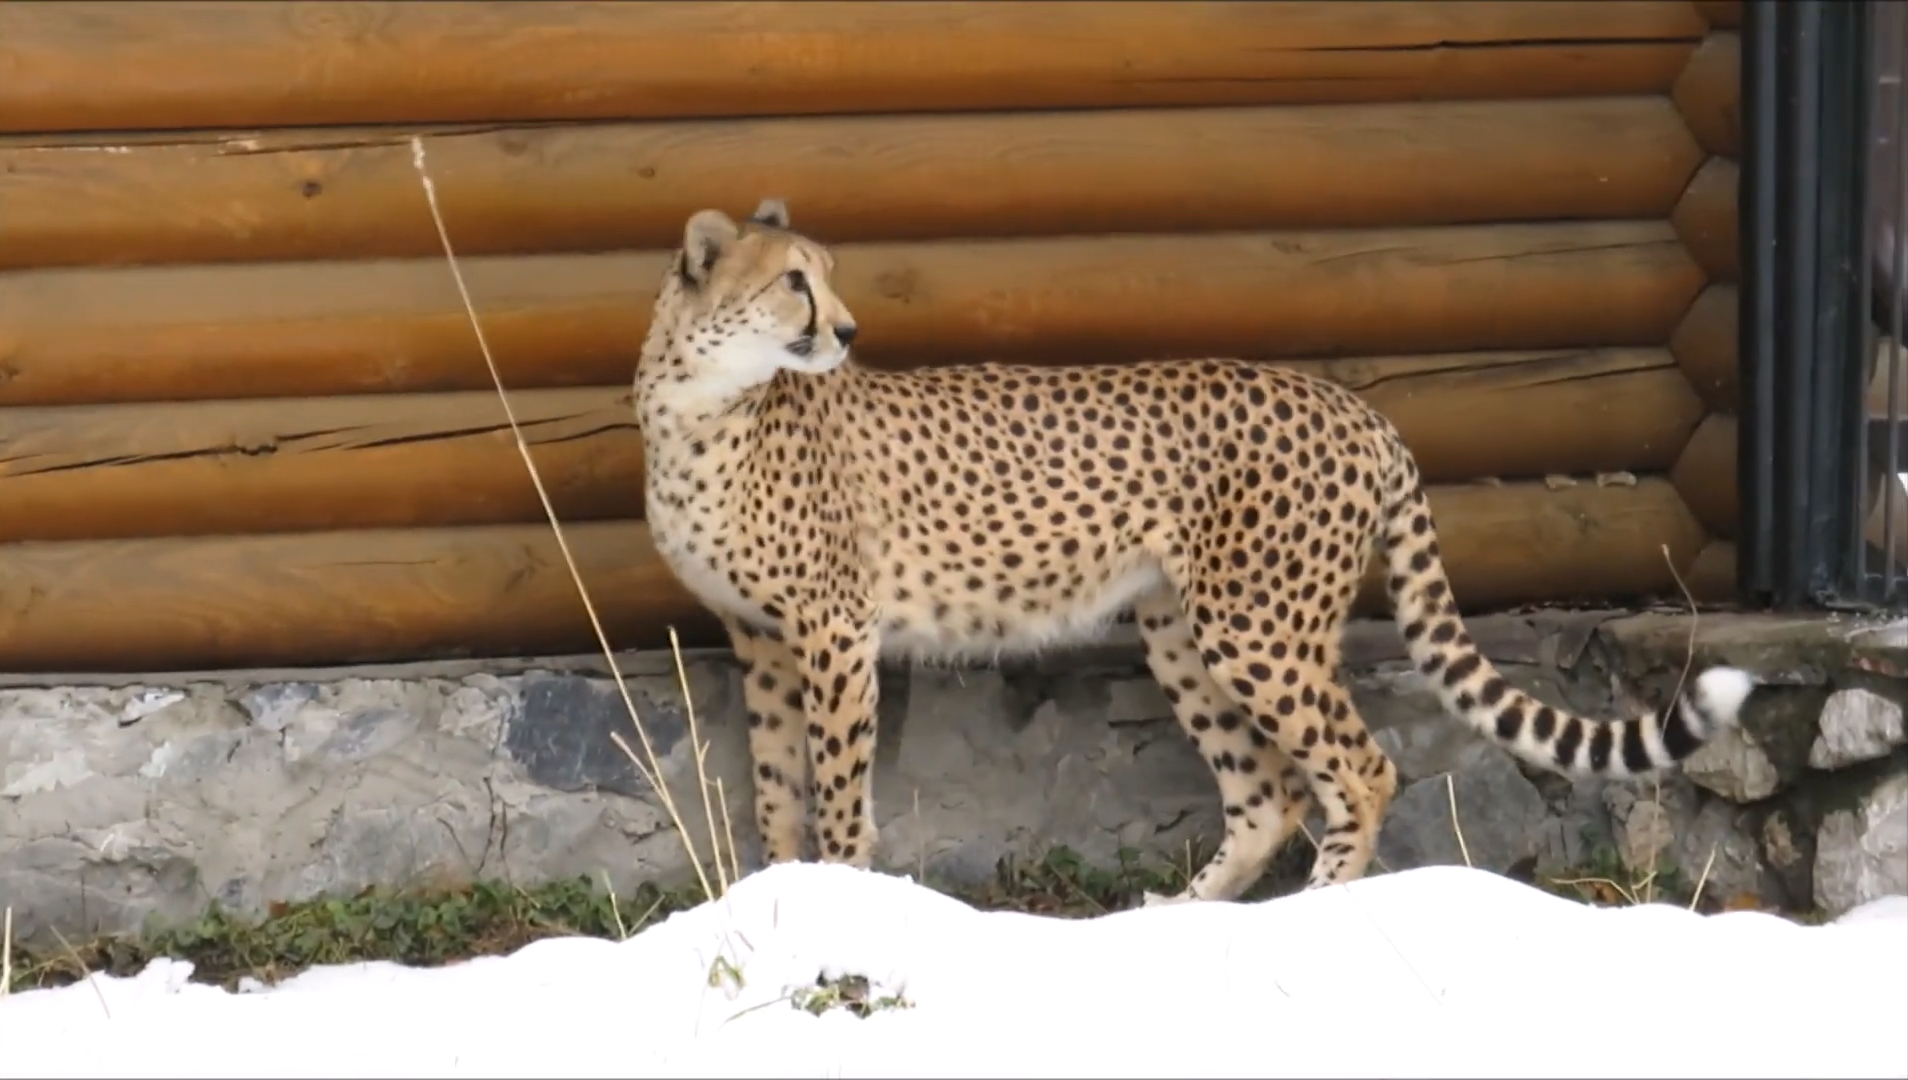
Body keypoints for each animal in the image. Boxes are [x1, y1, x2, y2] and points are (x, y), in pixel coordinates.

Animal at [641, 201, 1755, 904]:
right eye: (794, 281)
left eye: (827, 280)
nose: (848, 329)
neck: (697, 405)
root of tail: (1356, 406)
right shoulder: (761, 639)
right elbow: (777, 787)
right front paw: (779, 891)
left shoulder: (833, 630)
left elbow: (836, 785)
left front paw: (840, 896)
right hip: (1181, 629)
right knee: (1270, 794)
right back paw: (1184, 919)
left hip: (1256, 627)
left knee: (1359, 770)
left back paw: (1316, 913)